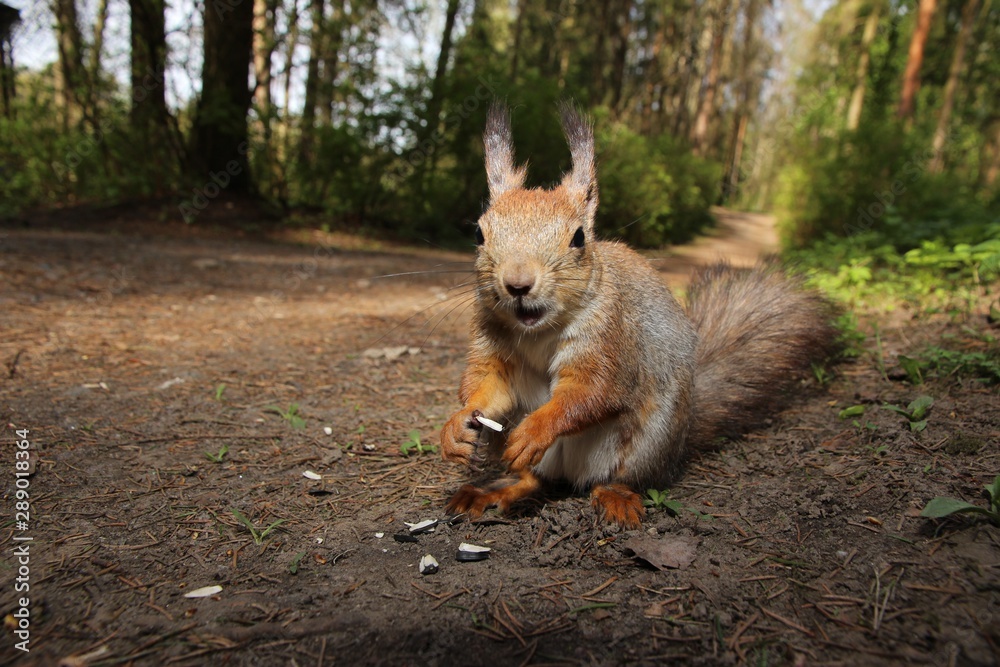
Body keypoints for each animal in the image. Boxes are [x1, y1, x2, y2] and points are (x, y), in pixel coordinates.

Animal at [440, 103, 838, 528]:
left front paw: (537, 428)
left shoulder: (611, 338)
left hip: (649, 438)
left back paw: (615, 497)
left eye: (579, 238)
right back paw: (491, 491)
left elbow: (592, 392)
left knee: (619, 477)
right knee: (534, 480)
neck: (536, 331)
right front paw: (455, 426)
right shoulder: (491, 340)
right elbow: (488, 386)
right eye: (479, 234)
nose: (517, 284)